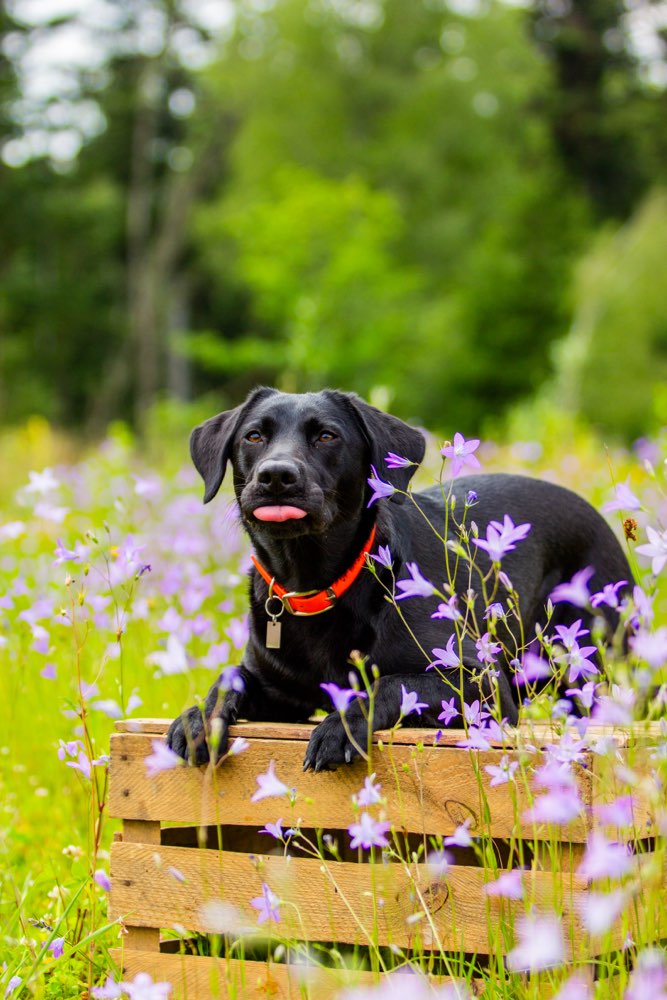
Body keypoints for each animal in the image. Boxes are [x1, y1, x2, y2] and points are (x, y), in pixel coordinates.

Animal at [166, 386, 632, 768]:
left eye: (327, 436)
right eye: (254, 436)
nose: (276, 475)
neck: (315, 582)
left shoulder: (482, 682)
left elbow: (389, 684)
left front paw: (341, 727)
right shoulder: (278, 690)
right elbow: (228, 680)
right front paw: (197, 719)